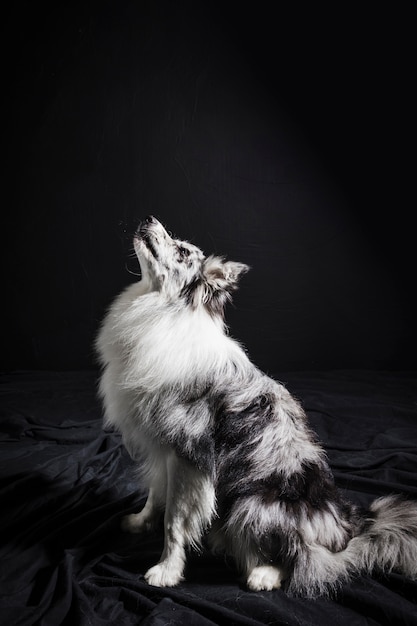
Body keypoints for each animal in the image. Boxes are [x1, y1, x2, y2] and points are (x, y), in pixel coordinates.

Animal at [96, 216, 416, 596]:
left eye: (183, 251)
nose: (149, 219)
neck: (162, 309)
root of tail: (346, 531)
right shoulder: (160, 447)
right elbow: (155, 492)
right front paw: (140, 521)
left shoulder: (187, 457)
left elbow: (174, 520)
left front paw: (166, 570)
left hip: (253, 504)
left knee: (302, 558)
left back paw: (264, 574)